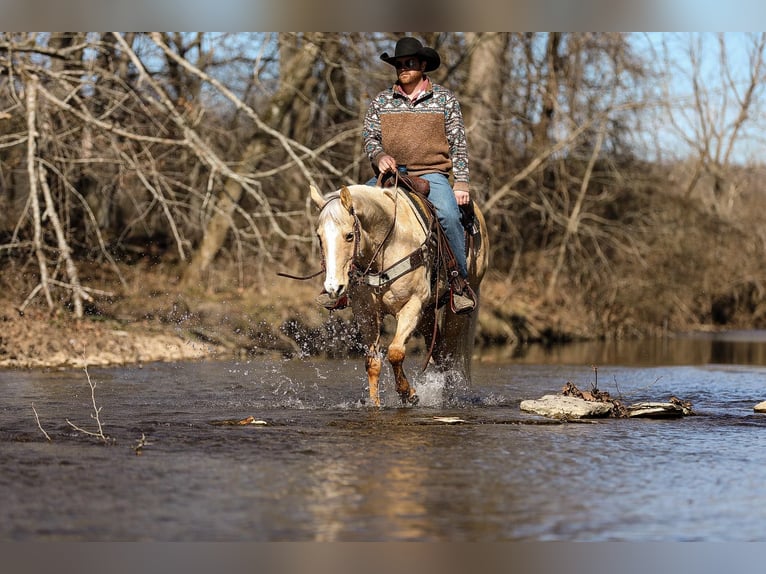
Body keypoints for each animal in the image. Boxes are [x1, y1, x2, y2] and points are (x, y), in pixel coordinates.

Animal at [310, 186, 492, 410]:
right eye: (319, 237)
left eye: (350, 236)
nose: (333, 287)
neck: (388, 245)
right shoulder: (366, 313)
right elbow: (372, 362)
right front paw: (375, 403)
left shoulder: (412, 305)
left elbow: (395, 352)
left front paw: (408, 394)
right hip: (427, 314)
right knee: (438, 350)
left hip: (456, 311)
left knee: (448, 354)